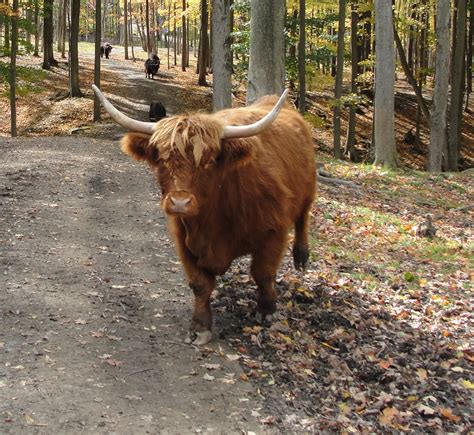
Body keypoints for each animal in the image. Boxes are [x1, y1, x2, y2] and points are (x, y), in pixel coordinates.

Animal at [91, 84, 316, 344]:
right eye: (161, 159)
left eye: (208, 161)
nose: (180, 202)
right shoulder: (184, 240)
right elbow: (199, 284)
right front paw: (200, 326)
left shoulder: (273, 231)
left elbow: (263, 273)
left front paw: (267, 311)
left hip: (308, 191)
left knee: (303, 218)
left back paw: (301, 257)